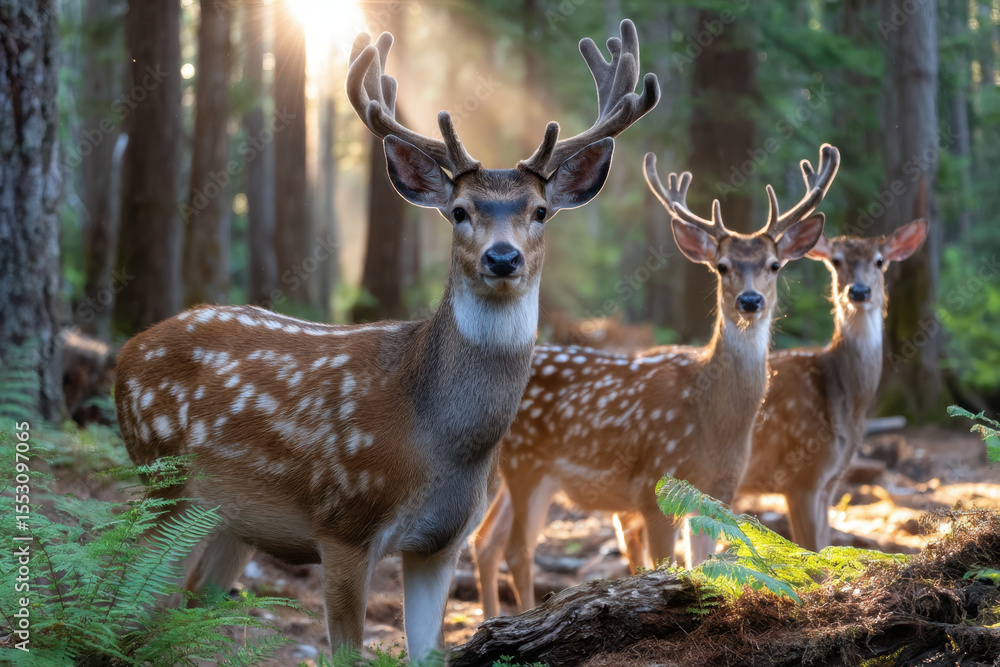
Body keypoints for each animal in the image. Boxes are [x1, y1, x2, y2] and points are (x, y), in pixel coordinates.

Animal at [113, 21, 658, 662]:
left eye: (541, 211)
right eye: (459, 211)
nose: (503, 258)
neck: (437, 441)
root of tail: (125, 352)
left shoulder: (442, 542)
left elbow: (429, 651)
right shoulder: (344, 520)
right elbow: (346, 650)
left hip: (230, 518)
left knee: (188, 598)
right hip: (165, 483)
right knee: (130, 601)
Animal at [473, 145, 840, 619]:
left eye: (774, 265)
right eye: (722, 267)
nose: (750, 301)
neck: (711, 422)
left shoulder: (718, 495)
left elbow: (703, 566)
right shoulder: (653, 486)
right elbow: (666, 566)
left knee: (485, 541)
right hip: (527, 466)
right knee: (516, 549)